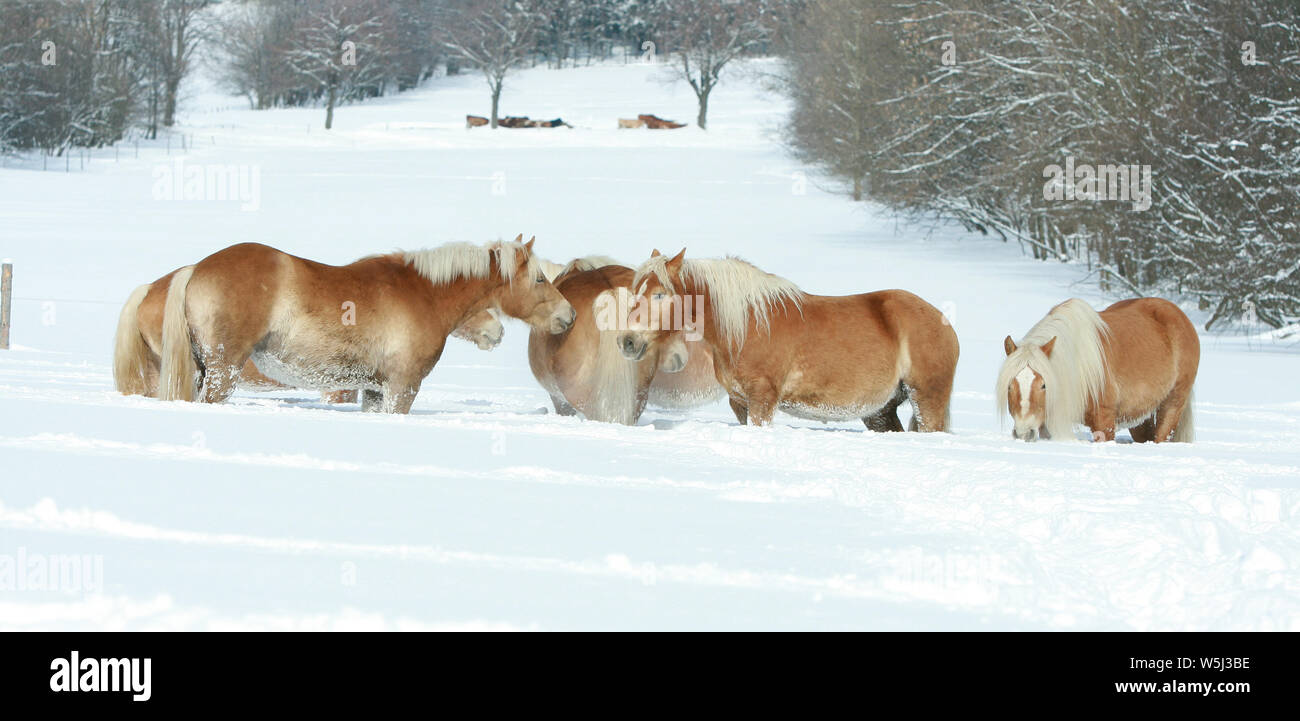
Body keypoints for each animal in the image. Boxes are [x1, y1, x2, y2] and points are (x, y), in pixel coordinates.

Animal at [154, 236, 572, 415]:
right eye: (539, 279)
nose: (567, 315)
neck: (423, 293)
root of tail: (196, 269)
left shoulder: (373, 389)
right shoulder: (402, 388)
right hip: (224, 371)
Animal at [613, 249, 961, 428]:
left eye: (659, 294)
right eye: (635, 290)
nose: (627, 341)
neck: (748, 324)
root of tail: (944, 323)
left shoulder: (763, 401)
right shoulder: (740, 402)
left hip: (926, 400)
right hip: (881, 411)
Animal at [993, 296, 1196, 441]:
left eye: (1044, 385)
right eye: (1010, 386)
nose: (1024, 433)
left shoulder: (1104, 422)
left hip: (1172, 403)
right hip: (1138, 416)